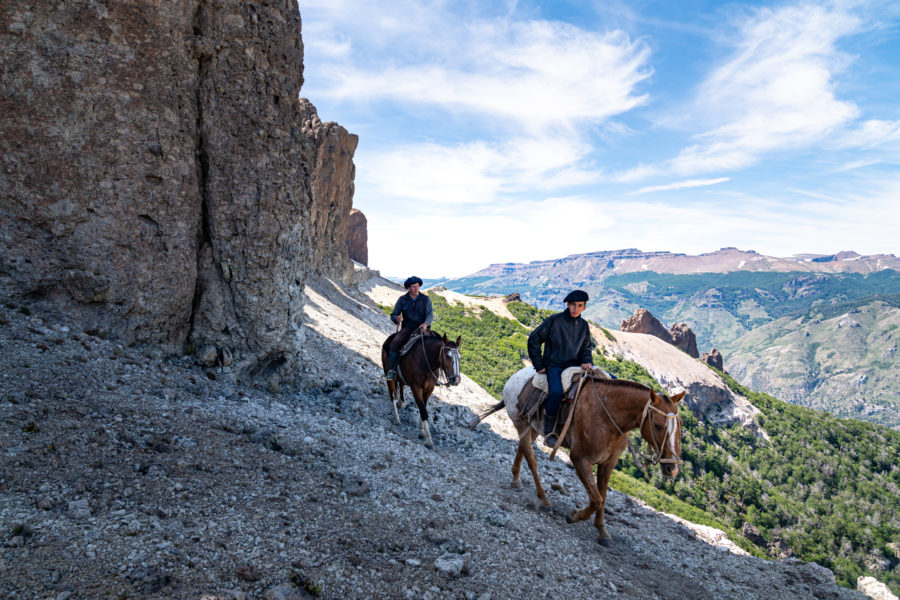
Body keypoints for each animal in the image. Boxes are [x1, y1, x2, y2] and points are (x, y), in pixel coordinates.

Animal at [470, 370, 684, 545]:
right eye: (657, 426)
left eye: (680, 425)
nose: (672, 468)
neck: (609, 416)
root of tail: (514, 378)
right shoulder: (579, 459)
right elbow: (596, 499)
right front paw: (574, 516)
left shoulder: (608, 463)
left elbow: (602, 496)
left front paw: (602, 531)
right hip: (521, 422)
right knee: (531, 458)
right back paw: (544, 500)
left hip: (532, 429)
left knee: (522, 448)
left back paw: (516, 480)